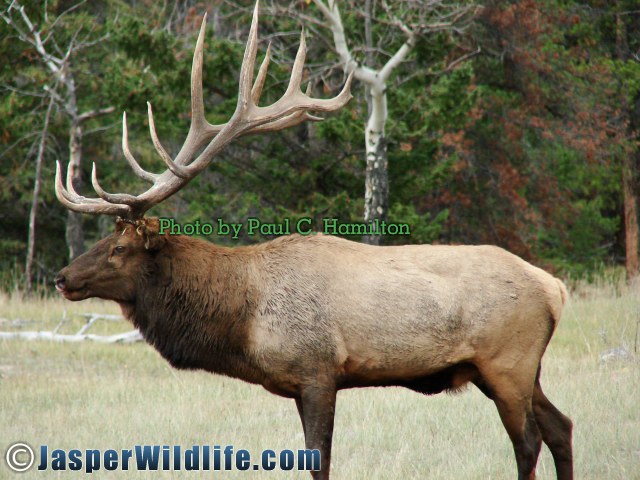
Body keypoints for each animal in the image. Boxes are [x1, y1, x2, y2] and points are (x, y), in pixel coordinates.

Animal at [53, 4, 573, 479]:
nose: (62, 277)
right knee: (561, 426)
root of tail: (555, 289)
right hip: (519, 369)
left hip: (507, 361)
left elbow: (319, 459)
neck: (242, 318)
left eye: (119, 249)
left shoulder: (318, 369)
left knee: (529, 440)